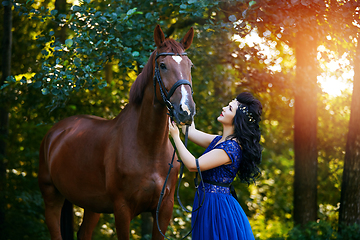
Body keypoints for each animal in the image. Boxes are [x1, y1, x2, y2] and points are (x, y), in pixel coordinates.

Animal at [38, 25, 195, 239]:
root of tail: (54, 133)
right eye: (162, 65)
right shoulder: (122, 209)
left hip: (91, 205)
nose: (186, 110)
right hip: (51, 196)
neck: (148, 149)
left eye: (190, 65)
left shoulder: (164, 210)